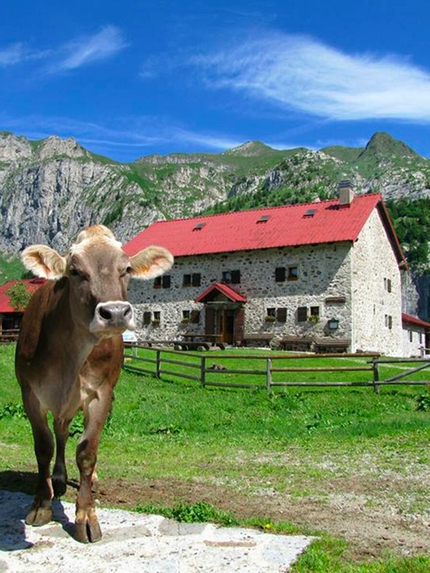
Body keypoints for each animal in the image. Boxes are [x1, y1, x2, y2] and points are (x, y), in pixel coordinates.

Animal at [15, 223, 173, 540]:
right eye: (74, 271)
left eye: (126, 269)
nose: (115, 313)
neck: (69, 359)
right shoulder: (31, 395)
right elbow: (44, 447)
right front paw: (41, 504)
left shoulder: (100, 394)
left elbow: (87, 452)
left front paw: (86, 516)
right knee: (61, 433)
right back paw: (59, 478)